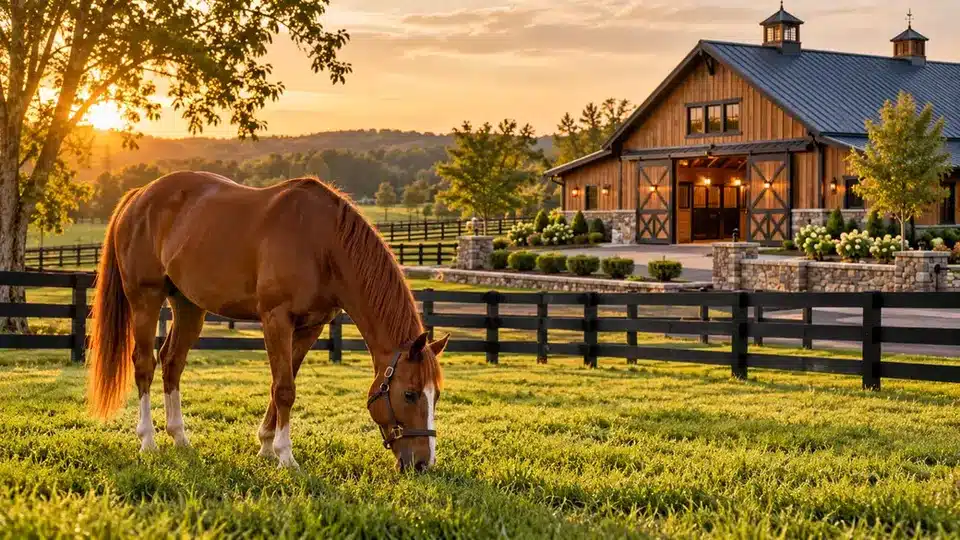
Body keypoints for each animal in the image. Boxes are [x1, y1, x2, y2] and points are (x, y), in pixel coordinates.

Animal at [87, 172, 447, 471]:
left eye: (436, 396)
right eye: (410, 394)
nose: (423, 463)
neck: (322, 243)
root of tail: (138, 195)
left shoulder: (310, 327)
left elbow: (283, 382)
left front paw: (265, 446)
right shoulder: (276, 319)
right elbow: (284, 388)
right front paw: (285, 456)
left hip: (188, 305)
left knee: (172, 362)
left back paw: (180, 437)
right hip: (145, 299)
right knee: (144, 364)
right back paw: (148, 440)